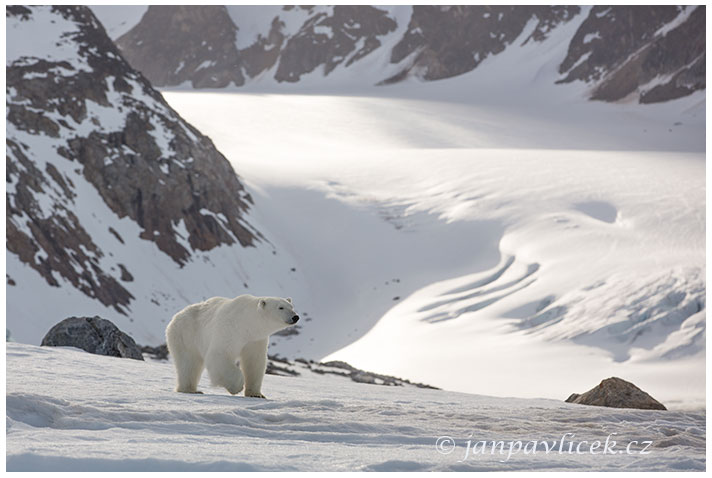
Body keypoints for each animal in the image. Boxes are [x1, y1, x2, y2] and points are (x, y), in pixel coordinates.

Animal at [165, 294, 298, 398]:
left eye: (292, 307)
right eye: (280, 307)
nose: (295, 317)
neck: (248, 323)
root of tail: (176, 316)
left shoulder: (255, 339)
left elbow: (254, 362)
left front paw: (256, 394)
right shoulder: (230, 328)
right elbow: (220, 355)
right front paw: (237, 387)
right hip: (186, 335)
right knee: (189, 362)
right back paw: (190, 390)